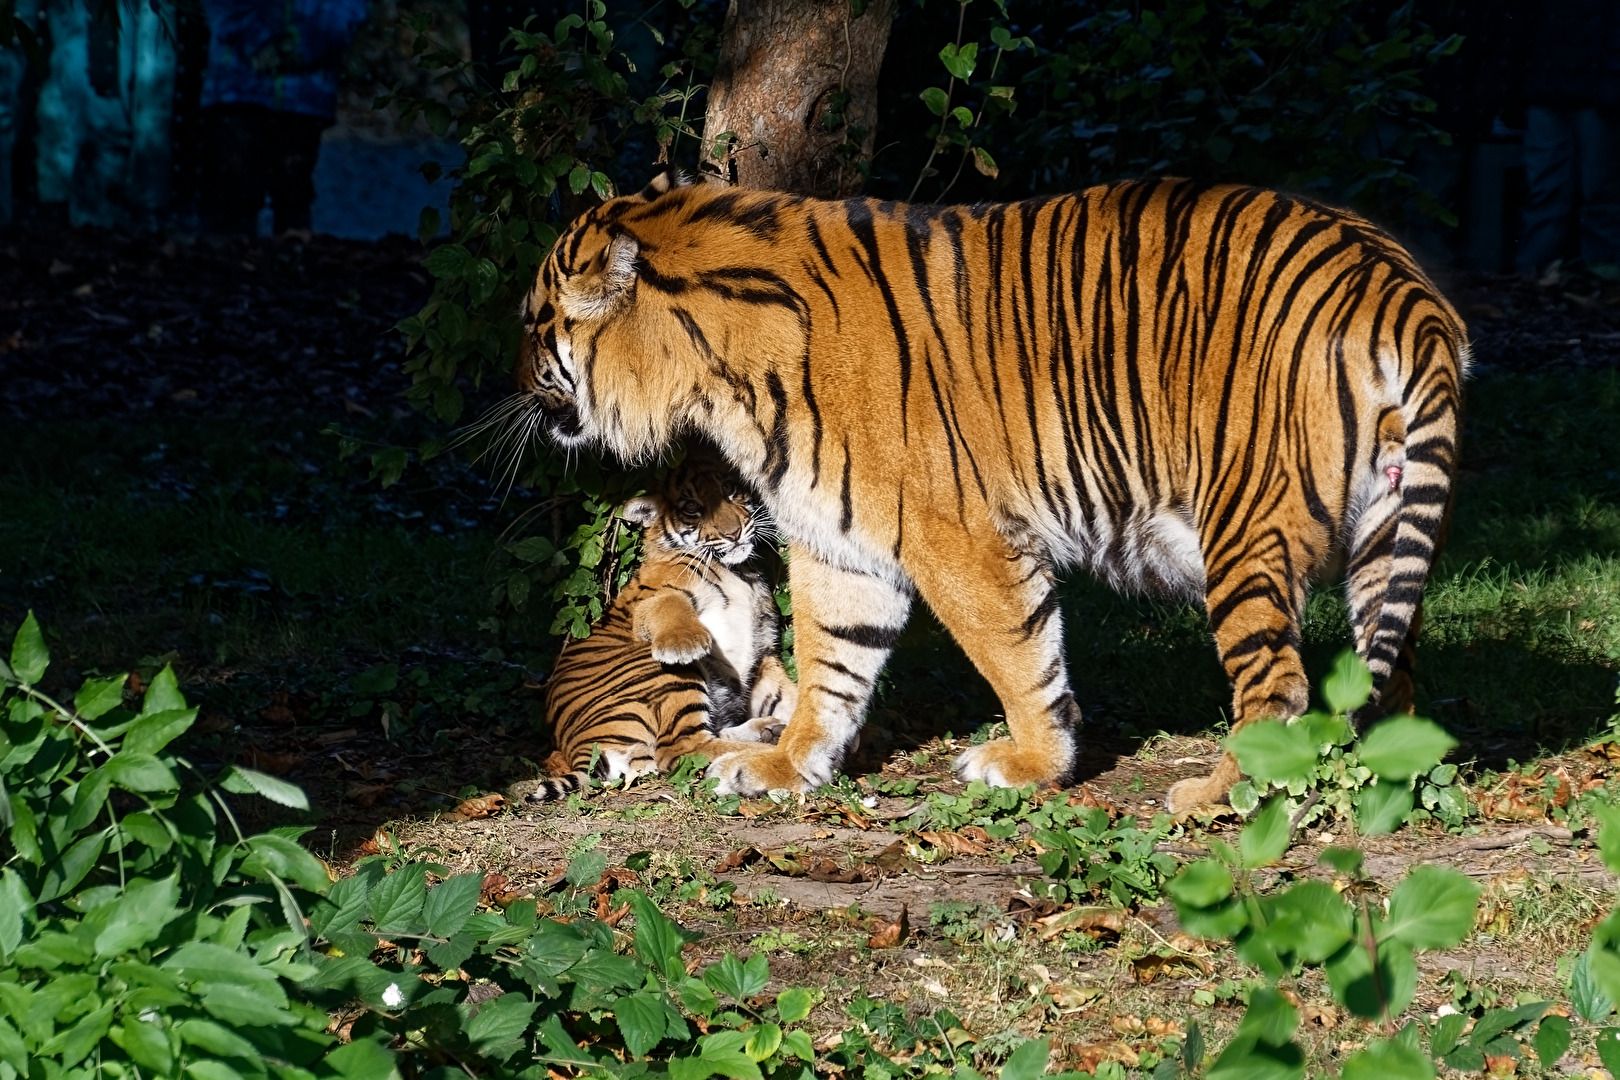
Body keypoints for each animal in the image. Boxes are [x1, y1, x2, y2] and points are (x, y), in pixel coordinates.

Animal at [517, 443, 798, 803]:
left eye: (730, 490)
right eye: (692, 508)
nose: (733, 534)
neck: (739, 572)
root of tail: (576, 747)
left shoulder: (763, 656)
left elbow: (791, 697)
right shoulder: (658, 596)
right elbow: (669, 605)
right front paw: (684, 641)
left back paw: (769, 730)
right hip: (663, 675)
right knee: (681, 749)